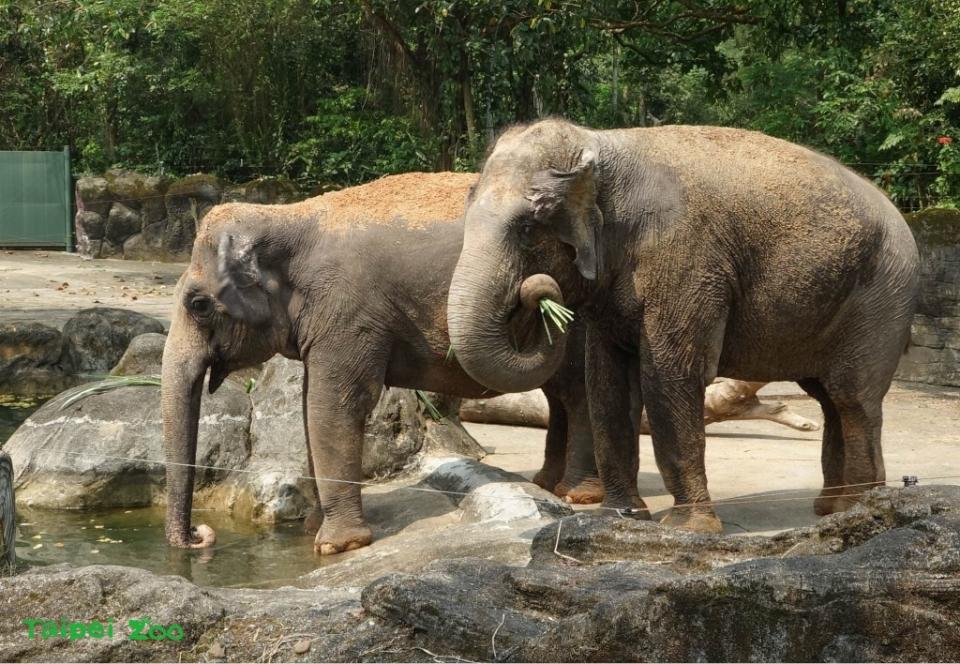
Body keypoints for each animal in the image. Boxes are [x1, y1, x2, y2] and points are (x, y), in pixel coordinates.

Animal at [446, 119, 920, 536]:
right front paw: (619, 517)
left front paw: (687, 528)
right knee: (827, 397)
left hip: (882, 297)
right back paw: (830, 508)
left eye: (527, 228)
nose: (537, 293)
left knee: (852, 397)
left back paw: (854, 507)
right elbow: (607, 383)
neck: (601, 147)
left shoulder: (684, 260)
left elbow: (670, 377)